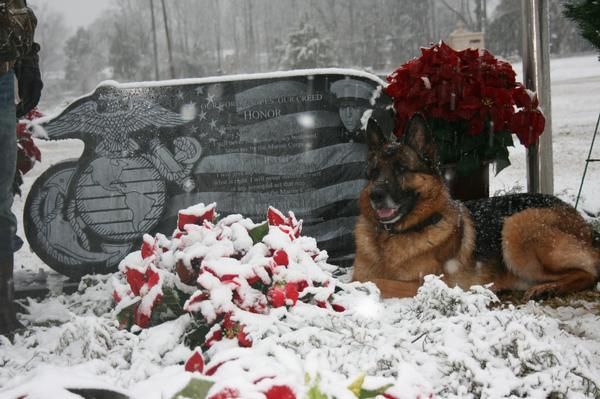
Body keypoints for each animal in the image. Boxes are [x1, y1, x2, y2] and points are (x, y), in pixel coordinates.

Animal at [352, 114, 600, 298]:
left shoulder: (425, 283)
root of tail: (582, 221)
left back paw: (549, 288)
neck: (390, 236)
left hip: (517, 225)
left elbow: (374, 281)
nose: (376, 195)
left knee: (590, 272)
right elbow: (360, 278)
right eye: (374, 172)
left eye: (402, 169)